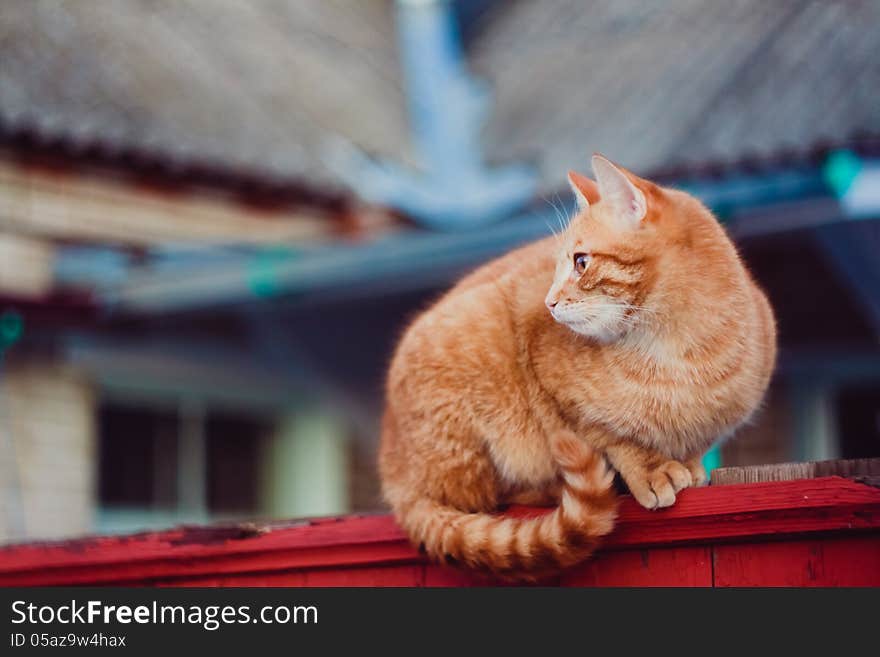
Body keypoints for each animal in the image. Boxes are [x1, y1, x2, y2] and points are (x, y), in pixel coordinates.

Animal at [380, 155, 776, 580]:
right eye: (555, 267)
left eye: (581, 262)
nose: (549, 302)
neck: (676, 351)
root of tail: (394, 471)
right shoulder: (557, 395)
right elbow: (609, 435)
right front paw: (651, 466)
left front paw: (687, 463)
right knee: (484, 497)